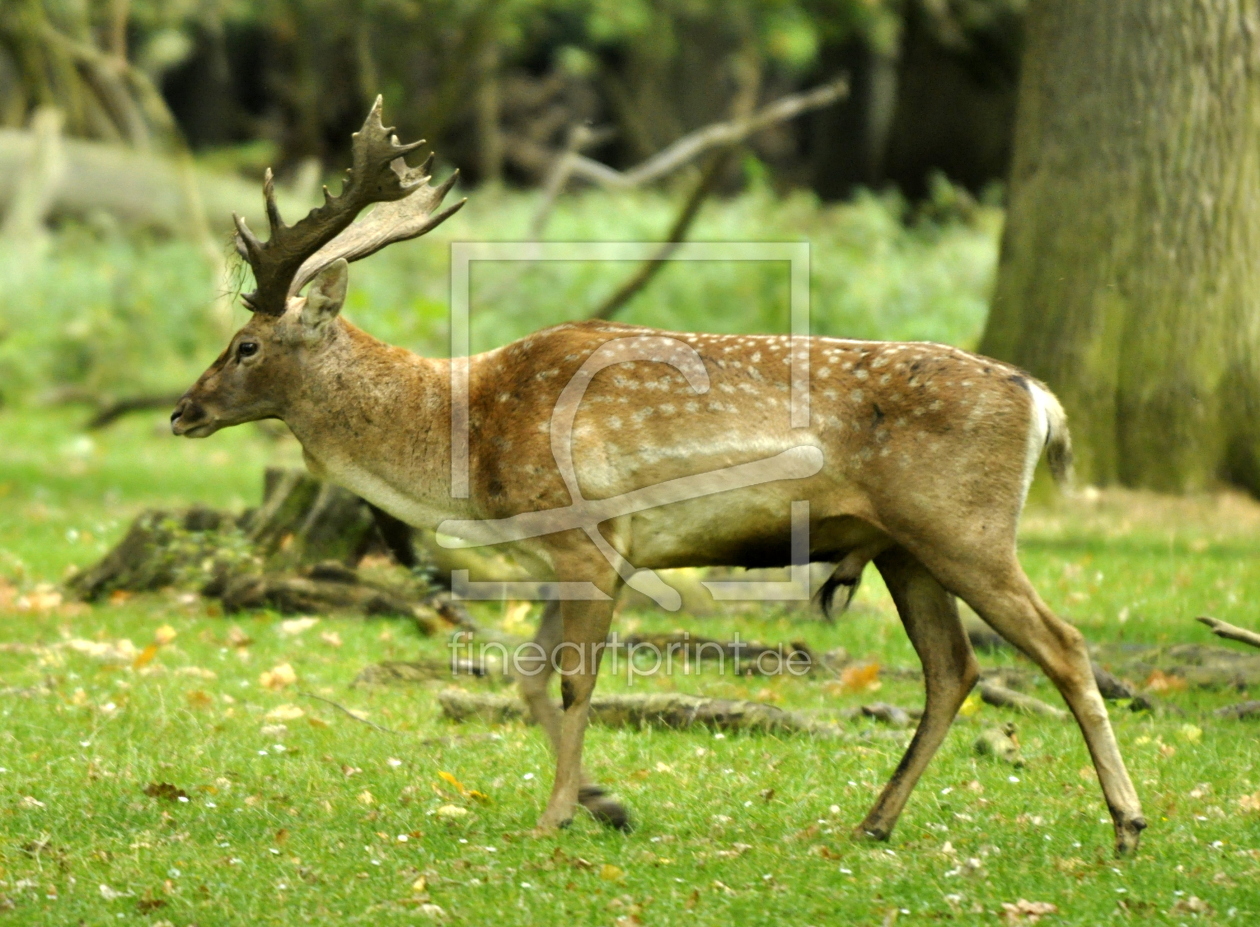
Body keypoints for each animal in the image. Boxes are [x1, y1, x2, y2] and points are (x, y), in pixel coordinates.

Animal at [172, 99, 1149, 856]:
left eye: (246, 344)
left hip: (965, 526)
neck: (467, 446)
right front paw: (606, 803)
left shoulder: (587, 539)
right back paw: (875, 820)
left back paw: (1126, 822)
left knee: (1063, 644)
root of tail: (1042, 400)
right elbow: (527, 677)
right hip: (905, 547)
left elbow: (574, 682)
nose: (182, 411)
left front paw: (558, 816)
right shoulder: (564, 557)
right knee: (954, 668)